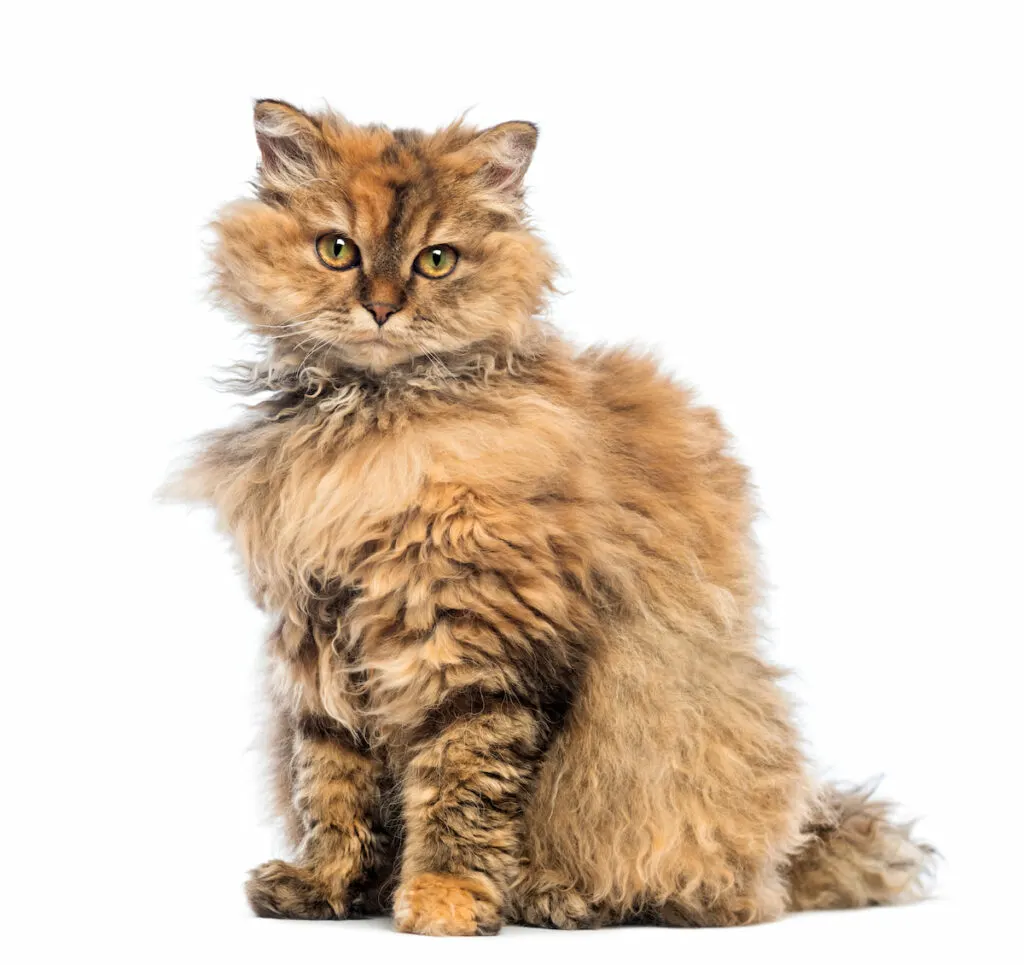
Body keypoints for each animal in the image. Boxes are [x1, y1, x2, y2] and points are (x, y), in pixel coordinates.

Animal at [172, 99, 933, 938]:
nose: (381, 307)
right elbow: (333, 786)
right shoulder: (318, 645)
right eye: (337, 250)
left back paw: (558, 895)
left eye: (436, 261)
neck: (372, 427)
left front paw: (444, 896)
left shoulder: (475, 647)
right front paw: (329, 883)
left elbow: (461, 787)